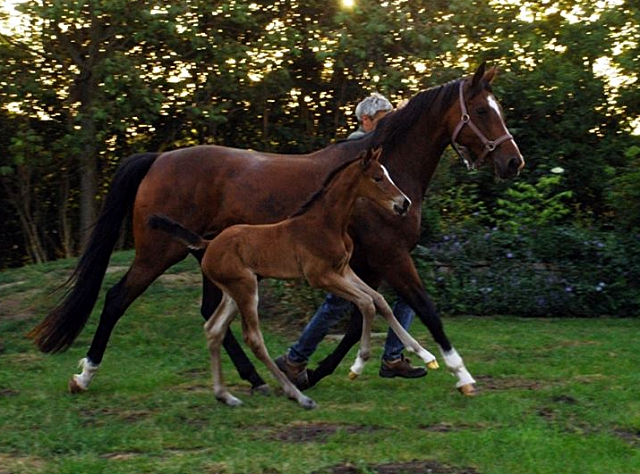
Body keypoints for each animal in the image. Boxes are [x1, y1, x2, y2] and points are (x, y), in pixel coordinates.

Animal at [150, 148, 438, 408]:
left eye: (387, 175)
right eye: (378, 177)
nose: (403, 203)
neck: (327, 223)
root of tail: (208, 244)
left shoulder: (344, 270)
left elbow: (379, 300)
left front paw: (424, 354)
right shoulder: (320, 276)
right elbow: (367, 303)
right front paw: (358, 364)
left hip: (233, 293)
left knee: (214, 329)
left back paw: (225, 396)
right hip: (245, 289)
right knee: (254, 339)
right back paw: (298, 396)